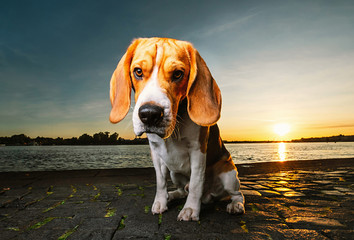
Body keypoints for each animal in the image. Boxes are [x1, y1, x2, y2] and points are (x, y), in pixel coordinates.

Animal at [109, 38, 245, 221]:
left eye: (178, 74)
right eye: (138, 71)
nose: (150, 114)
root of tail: (210, 196)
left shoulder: (197, 150)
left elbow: (195, 183)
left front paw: (190, 209)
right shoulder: (155, 152)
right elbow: (160, 182)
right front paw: (160, 202)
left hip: (229, 175)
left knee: (237, 194)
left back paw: (236, 205)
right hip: (175, 173)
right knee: (182, 190)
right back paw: (171, 195)